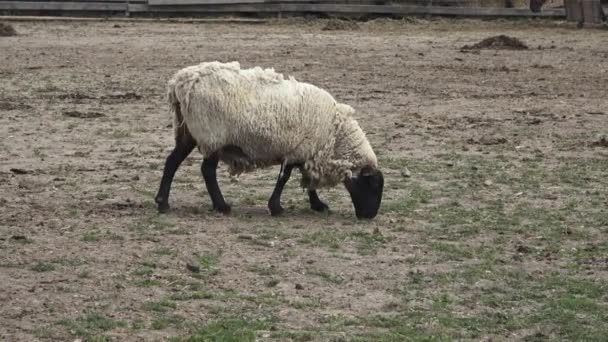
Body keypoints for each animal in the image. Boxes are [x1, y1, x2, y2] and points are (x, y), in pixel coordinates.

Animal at [156, 61, 384, 219]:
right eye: (373, 185)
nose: (369, 216)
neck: (336, 135)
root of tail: (182, 82)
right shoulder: (298, 150)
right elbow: (285, 178)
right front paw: (276, 207)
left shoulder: (305, 151)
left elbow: (307, 180)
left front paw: (318, 205)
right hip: (212, 136)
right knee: (207, 171)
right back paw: (221, 206)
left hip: (188, 133)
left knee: (172, 162)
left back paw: (162, 203)